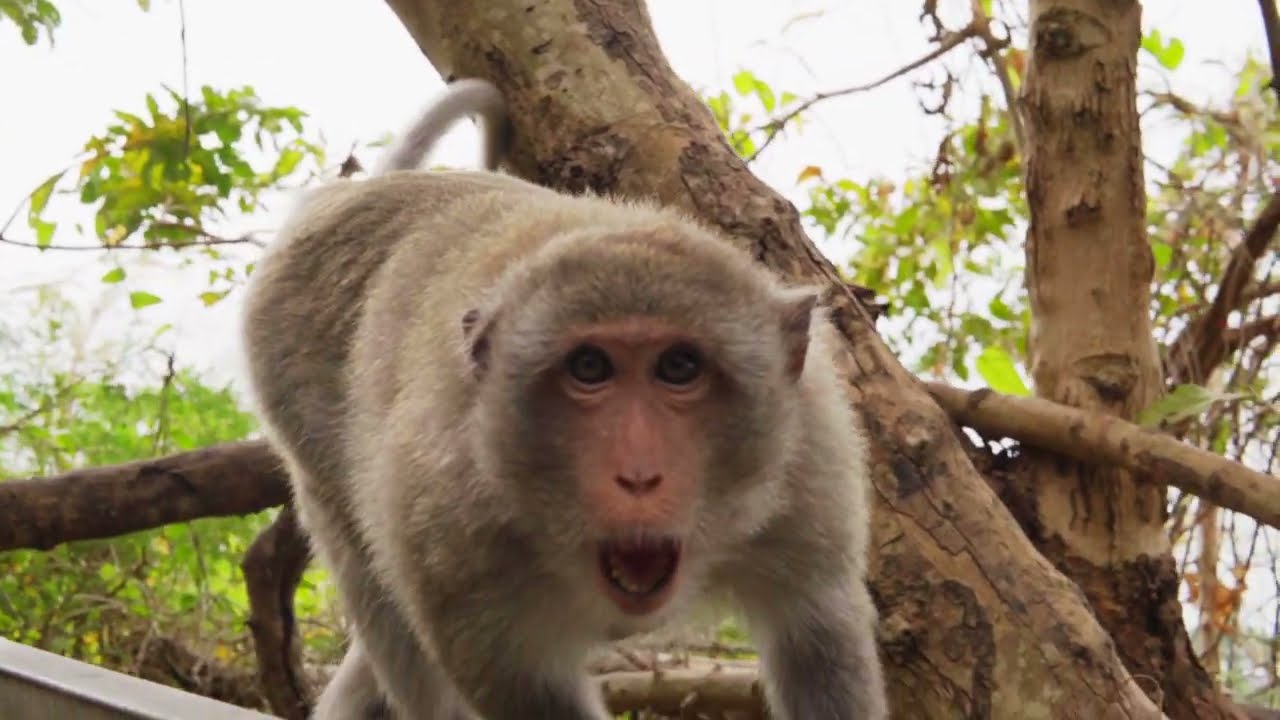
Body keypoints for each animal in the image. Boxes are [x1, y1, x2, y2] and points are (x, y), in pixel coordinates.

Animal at [240, 76, 888, 720]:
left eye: (679, 367)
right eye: (589, 368)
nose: (638, 476)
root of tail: (356, 194)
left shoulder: (810, 465)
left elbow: (817, 638)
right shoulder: (443, 523)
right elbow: (520, 686)